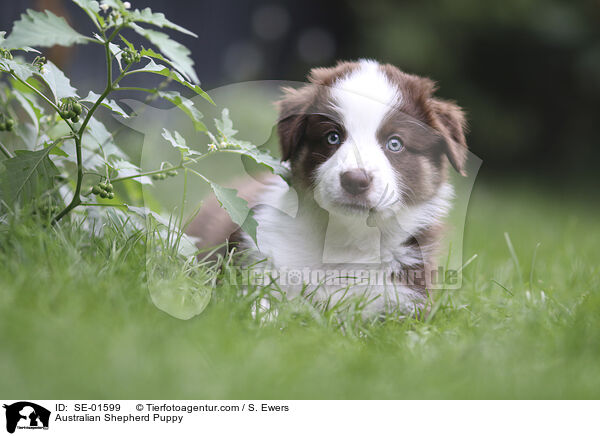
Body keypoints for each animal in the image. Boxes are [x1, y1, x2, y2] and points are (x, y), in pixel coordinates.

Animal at [191, 59, 468, 316]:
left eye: (395, 143)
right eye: (332, 137)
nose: (355, 180)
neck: (346, 240)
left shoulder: (404, 302)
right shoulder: (258, 267)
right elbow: (258, 308)